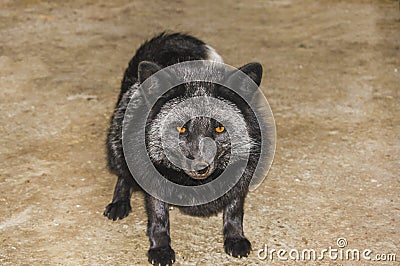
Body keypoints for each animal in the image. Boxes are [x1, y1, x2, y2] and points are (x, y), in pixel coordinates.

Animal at [104, 32, 264, 264]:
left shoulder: (242, 174)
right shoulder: (153, 179)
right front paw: (160, 249)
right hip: (120, 151)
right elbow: (159, 220)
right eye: (181, 128)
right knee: (123, 177)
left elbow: (234, 211)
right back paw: (119, 203)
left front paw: (235, 239)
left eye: (219, 127)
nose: (200, 167)